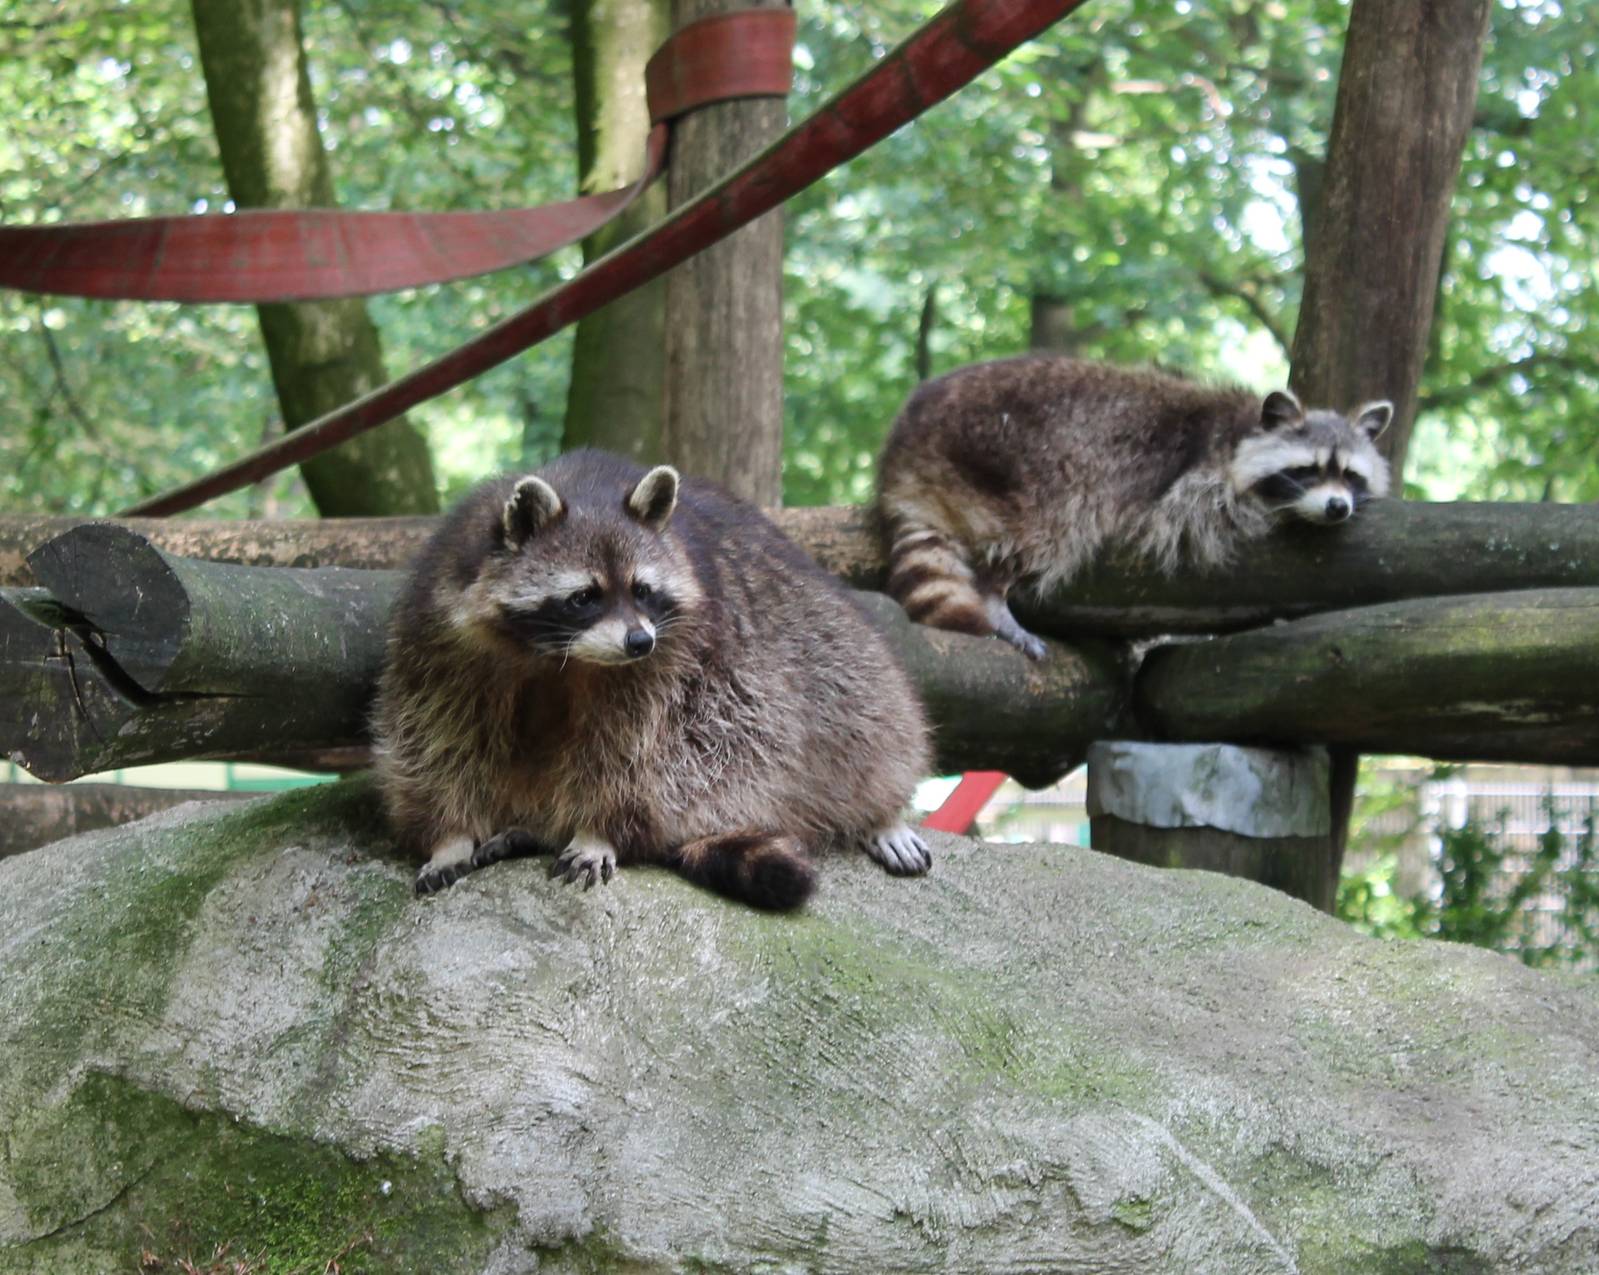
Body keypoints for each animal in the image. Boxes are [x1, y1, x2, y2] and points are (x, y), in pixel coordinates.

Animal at [372, 449, 933, 911]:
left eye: (642, 590)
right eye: (584, 596)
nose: (639, 642)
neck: (559, 658)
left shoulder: (676, 659)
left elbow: (641, 756)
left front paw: (596, 830)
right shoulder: (443, 638)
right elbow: (439, 741)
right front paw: (450, 836)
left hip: (822, 641)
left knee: (857, 708)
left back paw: (880, 810)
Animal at [876, 355, 1392, 659]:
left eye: (1349, 475)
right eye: (1307, 470)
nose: (1337, 508)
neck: (1244, 429)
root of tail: (908, 448)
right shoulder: (1198, 480)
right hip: (1011, 459)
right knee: (1041, 529)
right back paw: (995, 592)